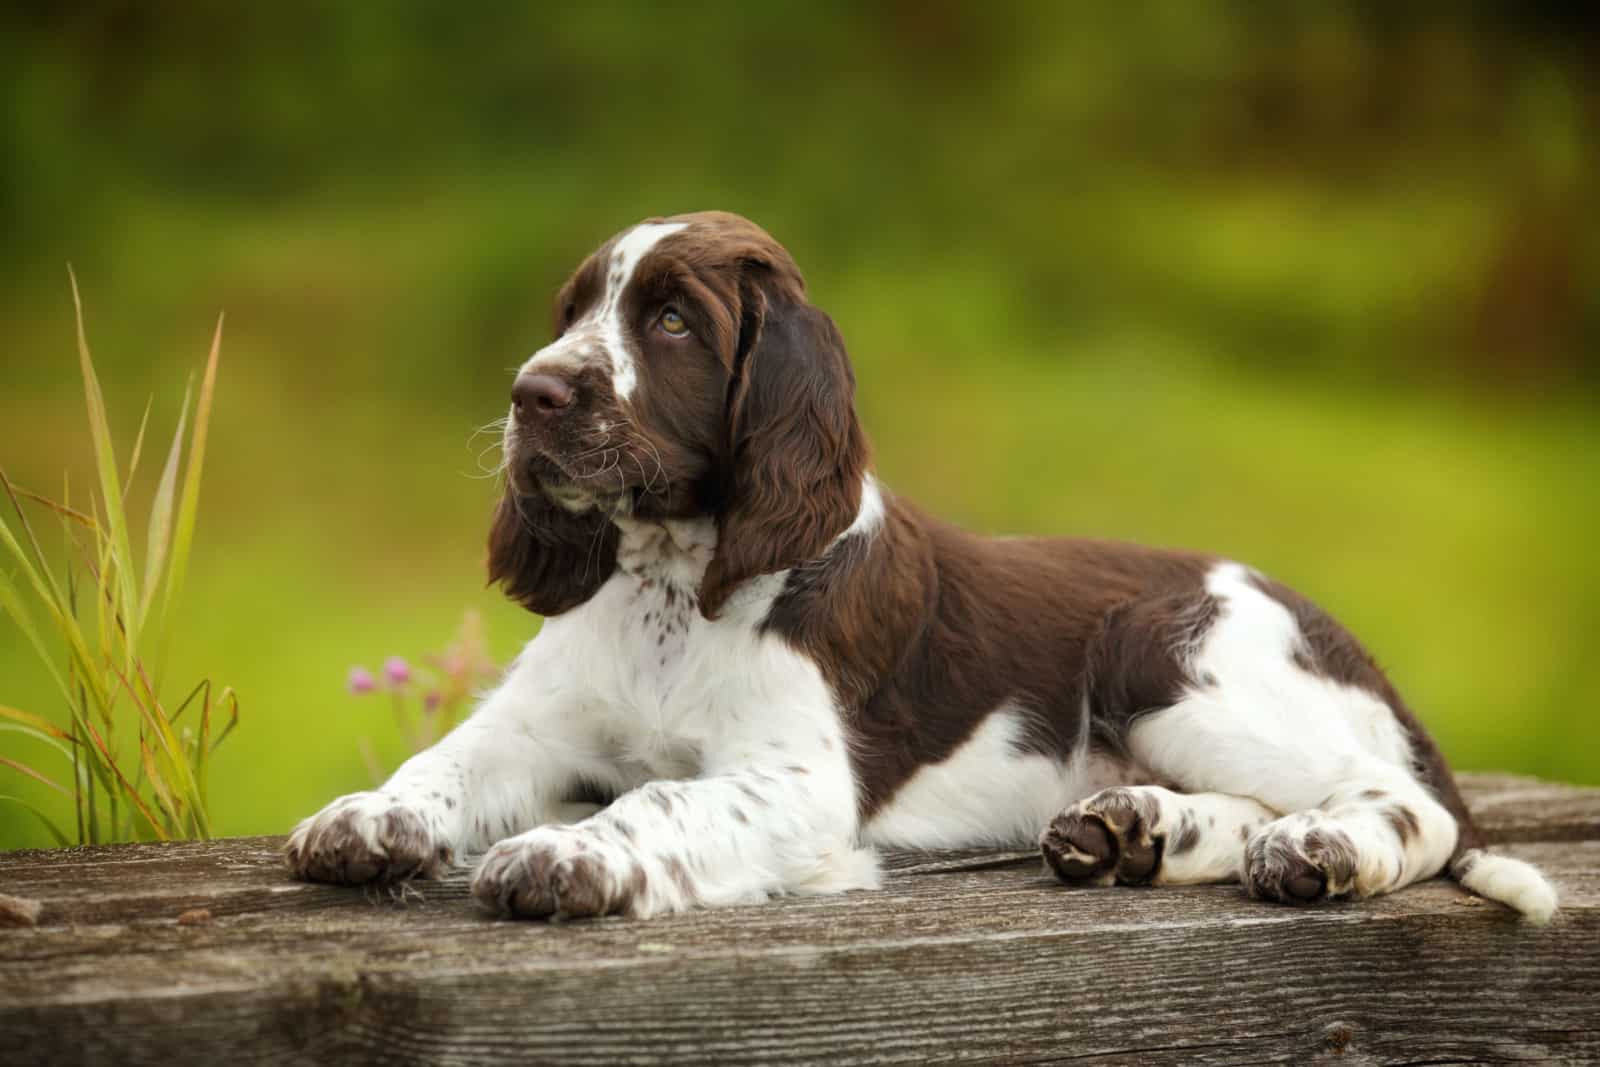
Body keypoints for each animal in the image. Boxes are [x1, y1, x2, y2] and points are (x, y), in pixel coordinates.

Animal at [284, 211, 1548, 927]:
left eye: (674, 323)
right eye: (573, 310)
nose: (530, 393)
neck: (671, 589)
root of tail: (1340, 634)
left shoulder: (800, 783)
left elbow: (659, 796)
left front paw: (563, 855)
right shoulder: (538, 726)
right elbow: (444, 760)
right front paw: (364, 818)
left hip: (1167, 652)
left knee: (1416, 806)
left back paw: (1318, 852)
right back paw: (1134, 827)